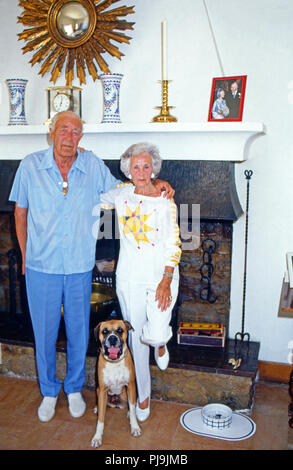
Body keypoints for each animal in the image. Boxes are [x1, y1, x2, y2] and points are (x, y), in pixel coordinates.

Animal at [91, 320, 141, 448]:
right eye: (104, 331)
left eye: (119, 330)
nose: (112, 338)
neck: (115, 363)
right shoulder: (102, 390)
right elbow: (100, 419)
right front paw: (97, 437)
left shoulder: (131, 385)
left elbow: (132, 409)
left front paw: (135, 427)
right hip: (98, 391)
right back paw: (97, 407)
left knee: (131, 405)